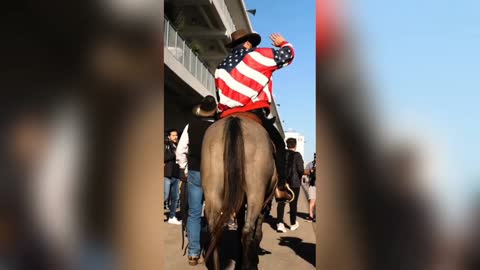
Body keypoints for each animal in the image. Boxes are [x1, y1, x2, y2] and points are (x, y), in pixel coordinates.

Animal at [202, 114, 278, 270]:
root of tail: (234, 120)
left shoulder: (240, 204)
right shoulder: (264, 204)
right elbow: (257, 233)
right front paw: (253, 260)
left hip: (212, 192)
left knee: (214, 230)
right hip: (256, 194)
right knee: (247, 231)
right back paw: (247, 265)